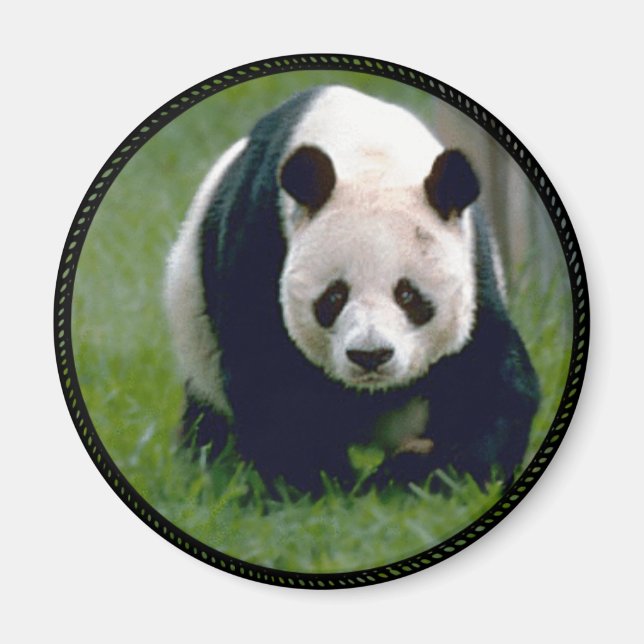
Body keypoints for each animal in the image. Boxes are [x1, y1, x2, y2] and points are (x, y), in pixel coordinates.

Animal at [164, 85, 540, 494]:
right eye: (334, 296)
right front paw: (316, 484)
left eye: (408, 295)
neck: (370, 160)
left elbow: (487, 382)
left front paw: (428, 472)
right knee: (209, 417)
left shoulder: (474, 269)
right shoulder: (259, 239)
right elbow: (269, 379)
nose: (370, 355)